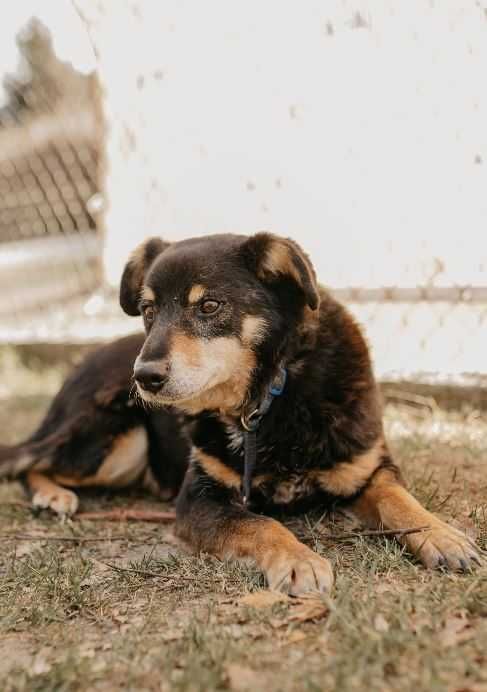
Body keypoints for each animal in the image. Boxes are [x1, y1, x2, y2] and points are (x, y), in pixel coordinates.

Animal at [117, 232, 480, 596]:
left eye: (209, 306)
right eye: (148, 310)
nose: (144, 376)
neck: (269, 395)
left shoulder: (368, 468)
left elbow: (398, 499)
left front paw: (441, 535)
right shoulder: (199, 497)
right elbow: (258, 523)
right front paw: (297, 559)